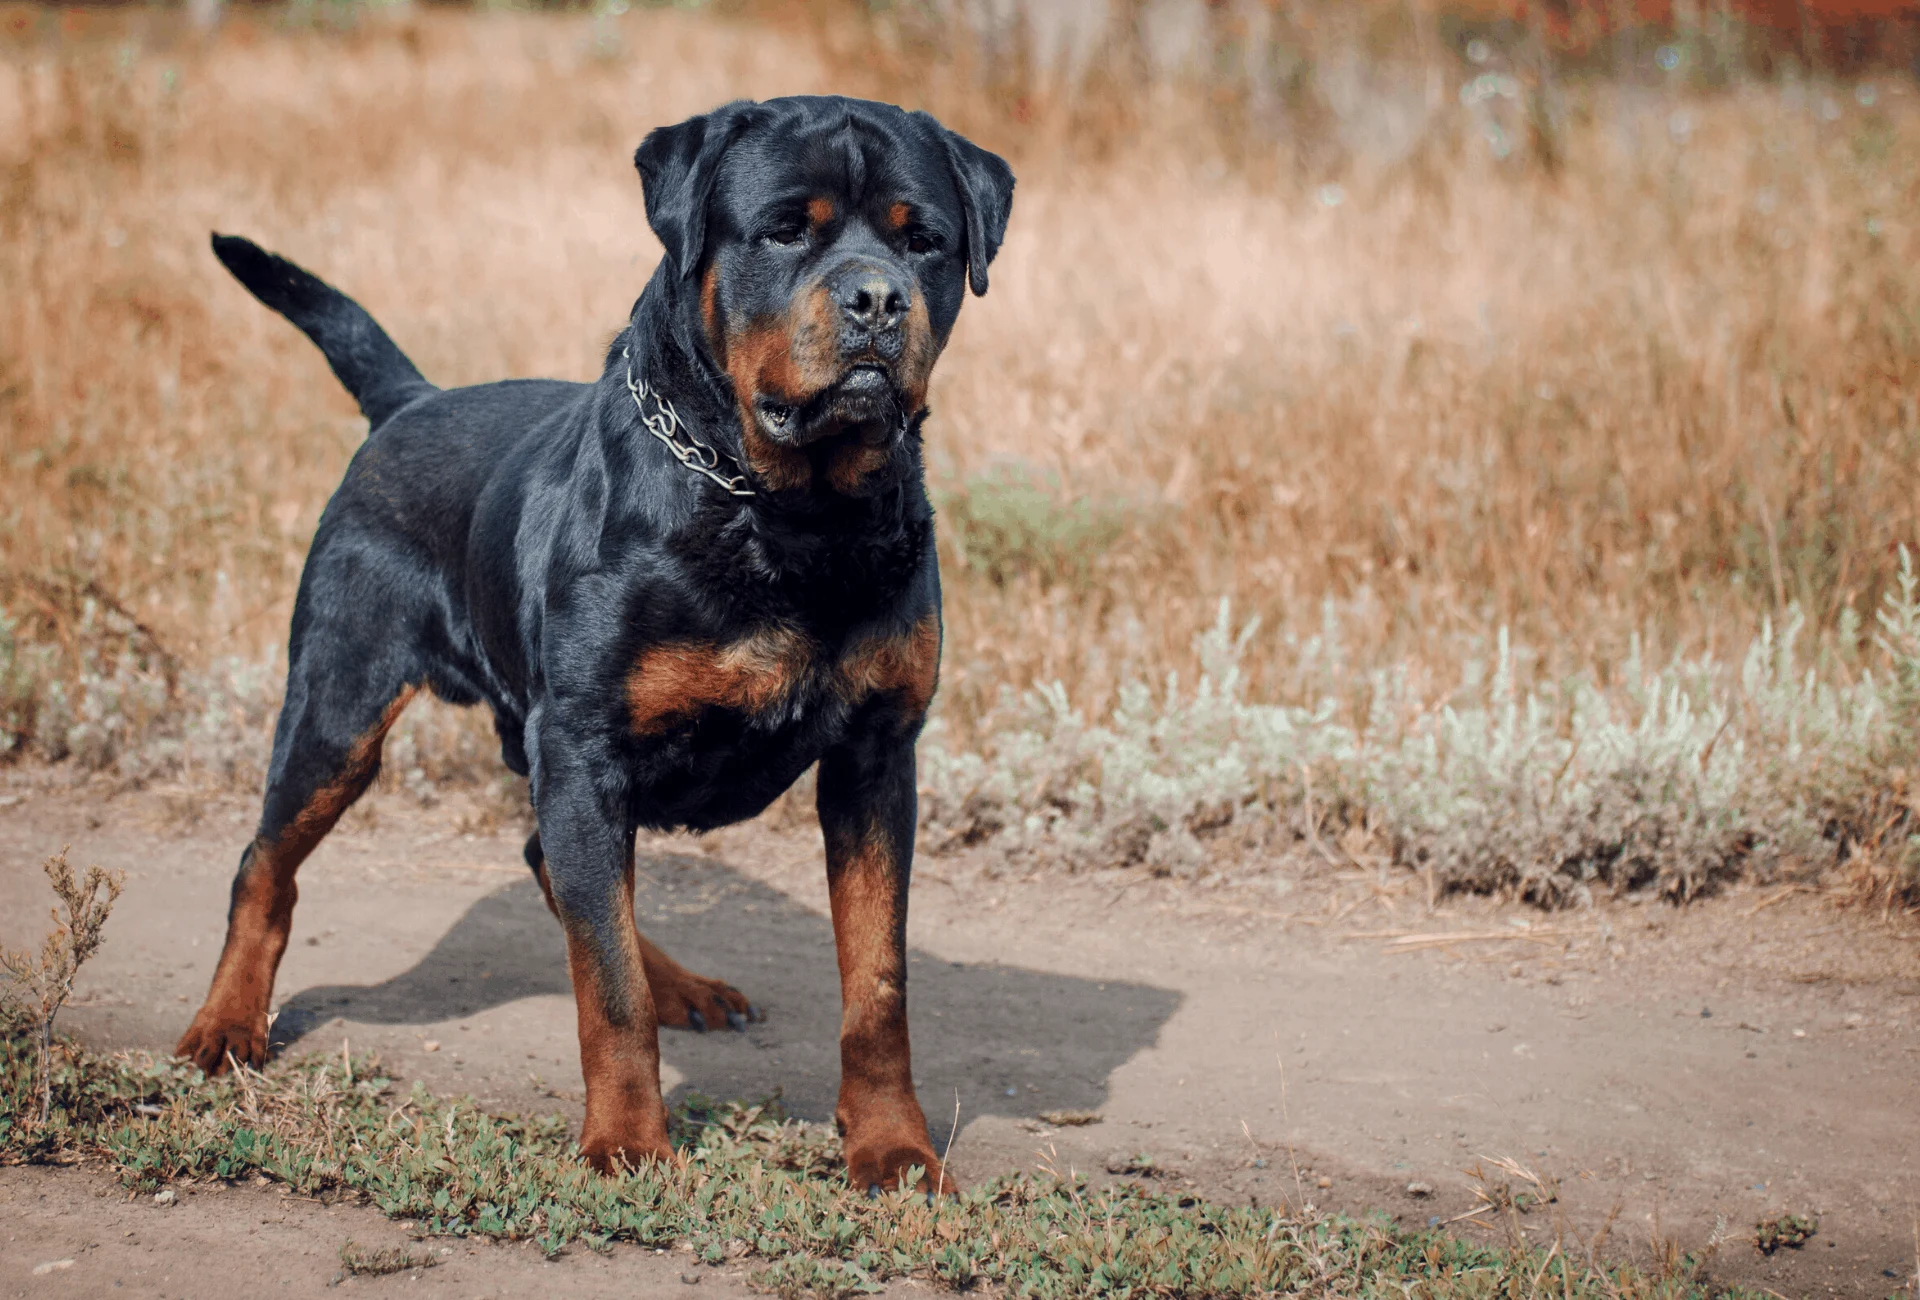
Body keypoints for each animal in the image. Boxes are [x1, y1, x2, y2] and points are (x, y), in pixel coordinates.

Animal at [178, 91, 1013, 1190]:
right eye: (787, 228)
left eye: (925, 242)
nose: (878, 298)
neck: (780, 510)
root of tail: (412, 402)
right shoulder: (583, 748)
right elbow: (607, 988)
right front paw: (627, 1139)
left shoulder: (876, 757)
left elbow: (877, 985)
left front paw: (893, 1147)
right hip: (340, 706)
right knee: (267, 863)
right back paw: (228, 1021)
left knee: (559, 867)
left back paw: (685, 984)